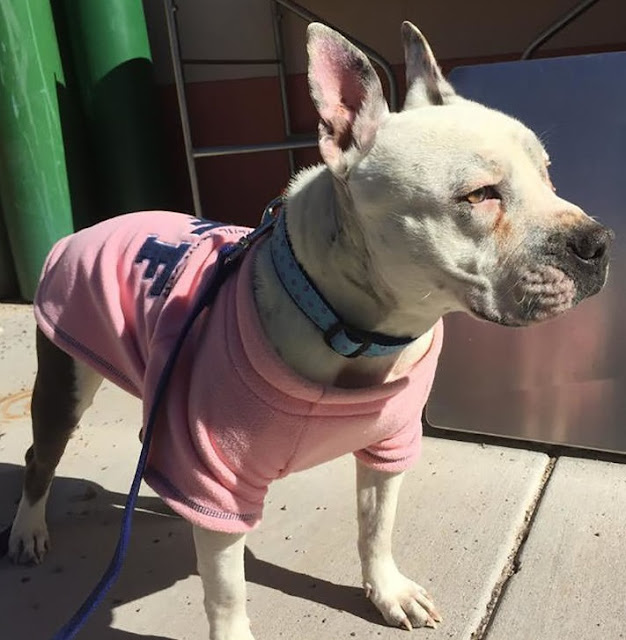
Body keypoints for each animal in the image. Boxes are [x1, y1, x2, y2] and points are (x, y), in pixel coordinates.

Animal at [8, 21, 612, 639]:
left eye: (546, 173)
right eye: (480, 194)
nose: (597, 242)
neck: (349, 328)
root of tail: (87, 226)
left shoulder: (388, 448)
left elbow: (376, 527)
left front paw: (388, 592)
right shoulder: (218, 478)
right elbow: (227, 591)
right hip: (65, 381)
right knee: (39, 455)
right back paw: (29, 529)